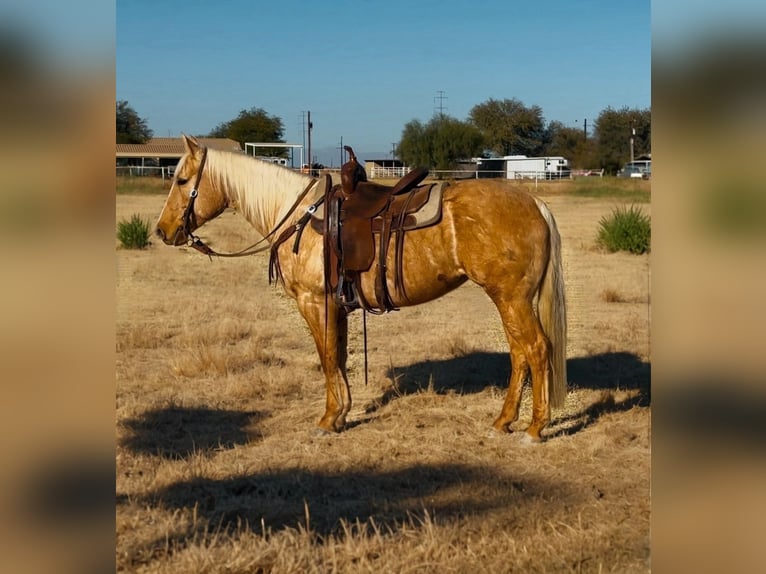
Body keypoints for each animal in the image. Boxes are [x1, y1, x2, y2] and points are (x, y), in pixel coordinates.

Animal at [156, 137, 568, 444]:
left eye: (181, 180)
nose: (162, 230)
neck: (298, 216)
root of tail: (535, 203)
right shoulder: (335, 306)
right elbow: (337, 356)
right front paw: (341, 414)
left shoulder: (314, 302)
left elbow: (326, 357)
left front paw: (328, 419)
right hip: (510, 299)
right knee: (519, 353)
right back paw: (503, 421)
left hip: (511, 298)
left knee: (535, 349)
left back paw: (534, 428)